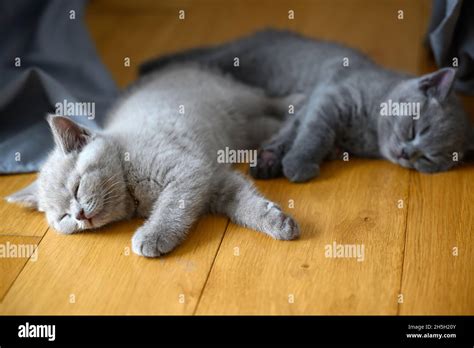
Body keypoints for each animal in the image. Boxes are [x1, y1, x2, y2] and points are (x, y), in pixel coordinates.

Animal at [6, 64, 300, 256]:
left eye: (77, 187)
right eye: (63, 217)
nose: (79, 215)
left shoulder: (188, 171)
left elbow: (171, 206)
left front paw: (153, 234)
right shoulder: (216, 179)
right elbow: (244, 204)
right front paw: (276, 222)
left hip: (237, 99)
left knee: (265, 98)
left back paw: (297, 102)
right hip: (242, 129)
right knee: (265, 123)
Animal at [141, 27, 474, 182]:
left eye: (428, 159)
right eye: (415, 128)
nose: (407, 154)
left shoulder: (311, 105)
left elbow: (293, 131)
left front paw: (273, 161)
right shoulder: (329, 99)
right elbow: (313, 134)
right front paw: (297, 164)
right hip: (231, 60)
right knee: (192, 60)